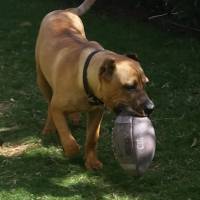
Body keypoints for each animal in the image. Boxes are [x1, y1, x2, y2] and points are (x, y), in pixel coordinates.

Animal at [36, 0, 154, 170]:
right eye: (129, 87)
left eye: (145, 83)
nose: (151, 108)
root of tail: (64, 11)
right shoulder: (57, 107)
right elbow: (65, 133)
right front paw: (71, 150)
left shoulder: (97, 112)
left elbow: (92, 138)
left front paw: (91, 161)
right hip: (42, 81)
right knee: (49, 107)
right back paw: (49, 128)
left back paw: (74, 116)